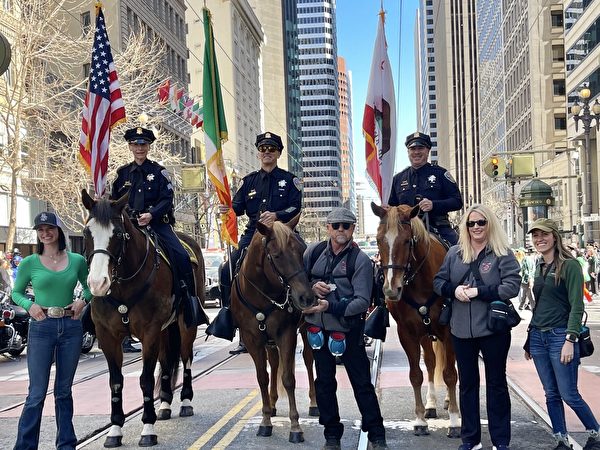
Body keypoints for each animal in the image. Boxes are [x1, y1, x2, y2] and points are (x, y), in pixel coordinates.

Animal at [81, 190, 203, 446]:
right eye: (87, 233)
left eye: (117, 234)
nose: (97, 283)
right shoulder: (107, 336)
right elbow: (116, 381)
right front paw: (115, 429)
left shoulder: (149, 332)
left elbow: (145, 379)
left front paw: (148, 427)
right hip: (166, 330)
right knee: (166, 361)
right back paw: (165, 404)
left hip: (185, 325)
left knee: (186, 358)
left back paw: (185, 401)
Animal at [231, 215, 318, 442]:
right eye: (277, 255)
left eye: (301, 250)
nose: (307, 298)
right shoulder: (252, 339)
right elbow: (263, 377)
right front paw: (265, 420)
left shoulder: (286, 334)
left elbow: (288, 378)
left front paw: (295, 426)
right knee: (274, 362)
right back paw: (272, 402)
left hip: (305, 330)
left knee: (308, 359)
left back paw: (314, 403)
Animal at [370, 203, 460, 436]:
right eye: (378, 239)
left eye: (407, 241)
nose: (391, 289)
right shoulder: (407, 333)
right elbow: (416, 375)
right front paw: (420, 419)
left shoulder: (449, 332)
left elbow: (450, 374)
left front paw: (455, 421)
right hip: (425, 334)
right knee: (430, 361)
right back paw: (431, 404)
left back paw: (450, 403)